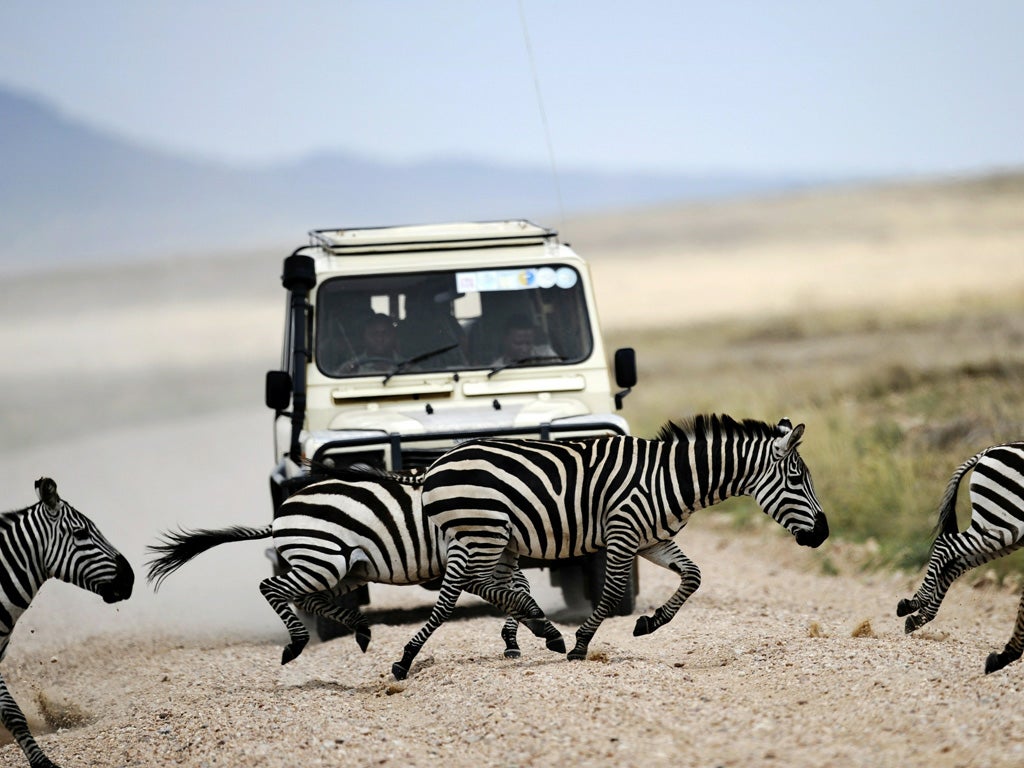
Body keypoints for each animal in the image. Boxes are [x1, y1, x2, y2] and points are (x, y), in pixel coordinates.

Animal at [147, 468, 540, 667]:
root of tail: (279, 517)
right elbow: (511, 589)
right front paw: (520, 634)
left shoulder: (496, 555)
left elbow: (517, 587)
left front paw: (515, 638)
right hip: (323, 561)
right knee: (271, 587)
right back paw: (297, 644)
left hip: (344, 567)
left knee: (307, 598)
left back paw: (360, 630)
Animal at [387, 415, 827, 679]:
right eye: (795, 479)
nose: (823, 533)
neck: (671, 478)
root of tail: (434, 464)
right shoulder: (622, 532)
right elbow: (613, 591)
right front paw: (582, 644)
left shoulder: (653, 540)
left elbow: (693, 575)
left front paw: (651, 622)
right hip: (482, 530)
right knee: (466, 587)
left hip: (484, 536)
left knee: (467, 588)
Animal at [897, 444, 1024, 671]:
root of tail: (992, 448)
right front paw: (1008, 654)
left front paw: (1008, 653)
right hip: (1001, 523)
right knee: (945, 546)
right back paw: (916, 603)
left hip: (1006, 531)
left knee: (954, 563)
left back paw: (919, 615)